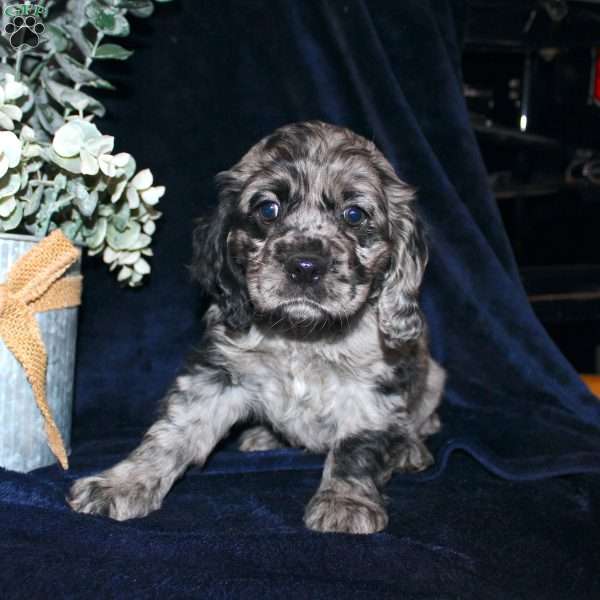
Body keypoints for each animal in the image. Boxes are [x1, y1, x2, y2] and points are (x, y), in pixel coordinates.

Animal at [70, 122, 446, 536]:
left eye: (353, 215)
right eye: (269, 209)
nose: (305, 266)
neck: (303, 336)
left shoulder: (370, 392)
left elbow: (355, 449)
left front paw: (345, 501)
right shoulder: (219, 375)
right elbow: (173, 431)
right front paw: (121, 483)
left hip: (434, 379)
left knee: (422, 422)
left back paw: (409, 448)